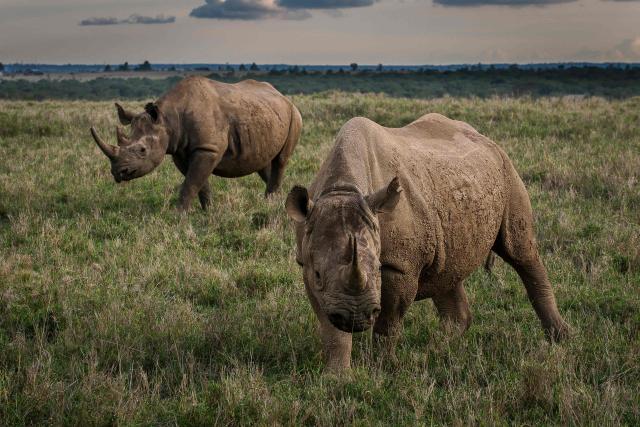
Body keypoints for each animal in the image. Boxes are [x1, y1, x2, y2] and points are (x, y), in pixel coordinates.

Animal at [90, 77, 302, 211]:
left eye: (142, 150)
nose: (118, 172)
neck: (169, 119)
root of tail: (282, 96)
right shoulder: (181, 151)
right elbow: (198, 182)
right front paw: (208, 211)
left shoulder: (207, 148)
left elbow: (191, 183)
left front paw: (178, 216)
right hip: (265, 115)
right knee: (264, 162)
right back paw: (276, 202)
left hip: (294, 114)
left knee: (281, 160)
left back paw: (271, 203)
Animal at [286, 113, 570, 373]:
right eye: (319, 274)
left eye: (378, 269)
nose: (356, 317)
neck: (343, 189)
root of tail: (485, 137)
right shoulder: (309, 265)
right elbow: (331, 328)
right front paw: (337, 377)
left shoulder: (400, 265)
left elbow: (388, 323)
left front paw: (382, 368)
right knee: (448, 270)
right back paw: (436, 350)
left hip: (507, 170)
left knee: (520, 253)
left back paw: (560, 338)